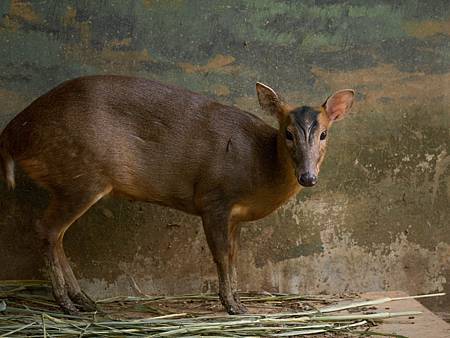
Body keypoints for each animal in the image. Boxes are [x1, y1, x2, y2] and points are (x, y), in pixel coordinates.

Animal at [0, 76, 356, 314]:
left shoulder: (235, 216)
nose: (308, 177)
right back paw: (66, 304)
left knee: (57, 234)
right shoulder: (214, 198)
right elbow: (220, 256)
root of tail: (13, 133)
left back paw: (84, 300)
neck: (259, 164)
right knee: (47, 229)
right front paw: (232, 306)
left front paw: (237, 300)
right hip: (81, 174)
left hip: (71, 181)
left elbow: (233, 255)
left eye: (324, 133)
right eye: (288, 133)